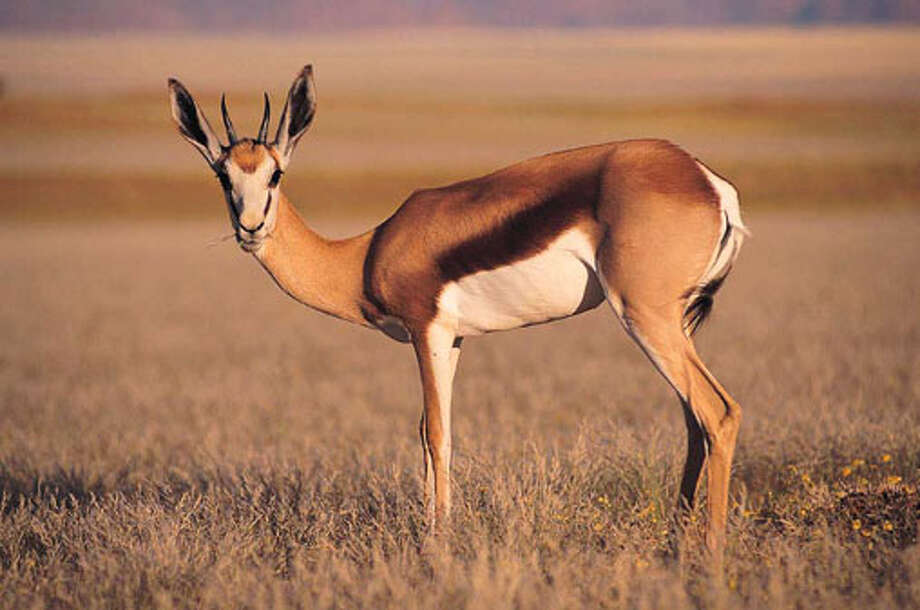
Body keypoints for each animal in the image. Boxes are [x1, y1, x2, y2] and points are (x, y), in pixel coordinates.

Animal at [168, 65, 747, 561]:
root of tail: (707, 182)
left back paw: (711, 557)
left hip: (645, 316)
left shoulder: (426, 329)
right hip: (674, 322)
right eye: (224, 176)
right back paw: (674, 545)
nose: (249, 227)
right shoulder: (454, 340)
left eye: (276, 174)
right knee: (693, 419)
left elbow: (437, 435)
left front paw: (438, 544)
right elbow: (428, 430)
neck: (365, 255)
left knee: (718, 412)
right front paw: (431, 534)